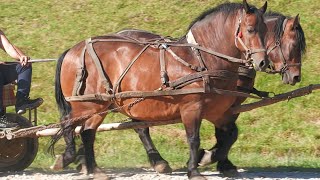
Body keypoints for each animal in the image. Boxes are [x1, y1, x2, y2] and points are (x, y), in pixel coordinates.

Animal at [50, 1, 270, 179]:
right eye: (250, 29)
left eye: (266, 30)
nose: (262, 62)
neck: (201, 59)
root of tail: (72, 50)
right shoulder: (192, 107)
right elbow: (193, 139)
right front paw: (194, 170)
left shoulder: (219, 111)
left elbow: (230, 134)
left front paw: (209, 158)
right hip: (88, 104)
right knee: (68, 124)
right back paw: (69, 157)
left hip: (101, 105)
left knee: (88, 132)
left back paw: (94, 169)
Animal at [115, 10, 308, 176]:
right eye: (294, 45)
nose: (296, 76)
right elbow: (225, 134)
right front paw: (208, 158)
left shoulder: (227, 105)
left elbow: (229, 133)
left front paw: (219, 161)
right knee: (141, 127)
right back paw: (159, 161)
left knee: (140, 125)